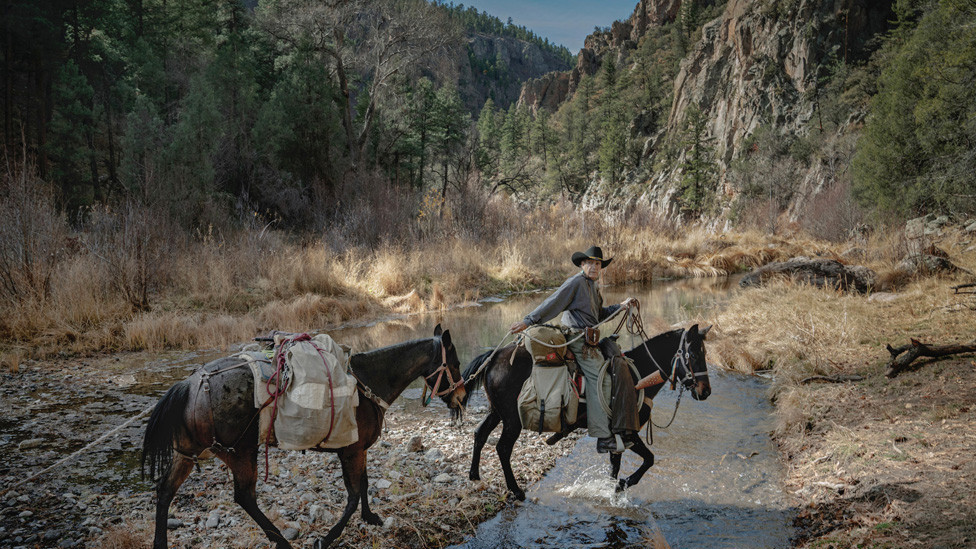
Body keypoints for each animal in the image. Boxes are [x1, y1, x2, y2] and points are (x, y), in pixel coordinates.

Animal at [458, 326, 708, 500]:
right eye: (694, 355)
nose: (705, 391)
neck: (638, 375)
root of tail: (494, 357)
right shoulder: (628, 433)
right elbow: (649, 460)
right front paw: (619, 487)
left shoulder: (615, 437)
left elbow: (615, 466)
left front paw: (610, 490)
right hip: (511, 419)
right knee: (502, 448)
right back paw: (516, 491)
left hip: (496, 412)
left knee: (480, 433)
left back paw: (474, 476)